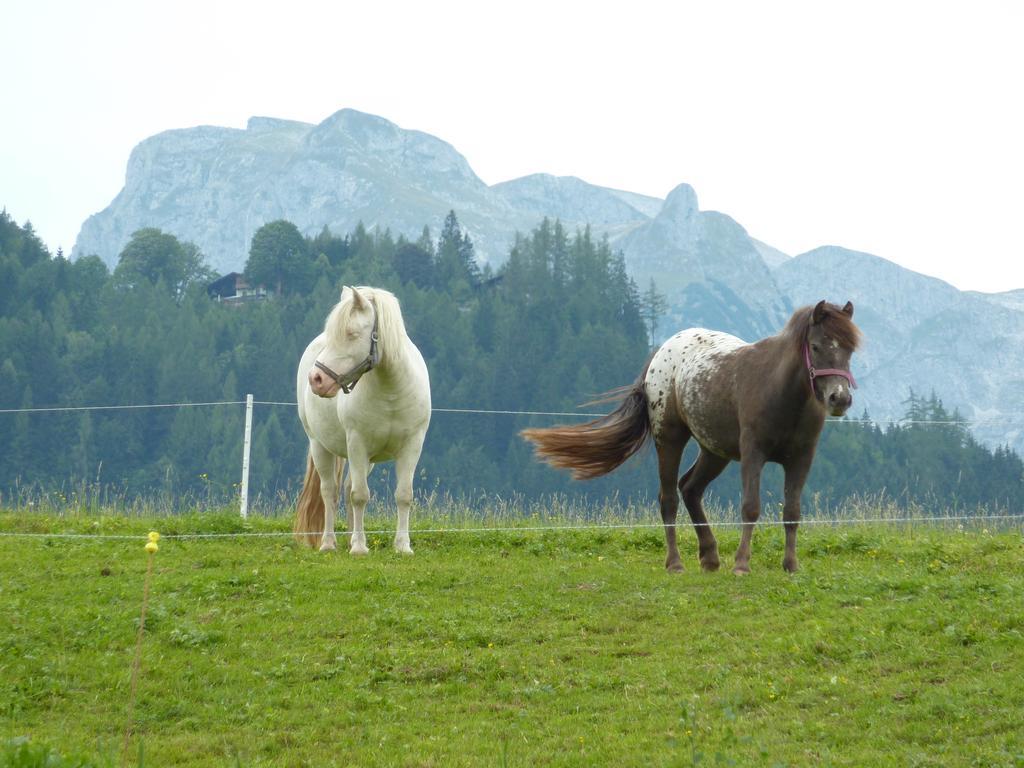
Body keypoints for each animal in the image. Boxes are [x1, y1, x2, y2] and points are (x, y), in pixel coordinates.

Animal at [294, 286, 430, 557]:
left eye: (351, 333)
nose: (316, 379)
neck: (390, 391)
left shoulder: (412, 445)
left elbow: (403, 495)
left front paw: (402, 546)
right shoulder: (357, 443)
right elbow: (360, 496)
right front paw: (358, 548)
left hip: (367, 460)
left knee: (346, 489)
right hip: (320, 446)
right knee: (330, 492)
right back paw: (329, 543)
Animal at [524, 299, 860, 573]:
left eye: (849, 349)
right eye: (816, 346)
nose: (839, 398)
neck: (780, 391)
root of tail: (661, 352)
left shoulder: (801, 458)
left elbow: (792, 511)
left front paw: (791, 565)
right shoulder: (753, 454)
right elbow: (750, 507)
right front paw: (741, 564)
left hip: (715, 452)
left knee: (690, 489)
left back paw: (709, 556)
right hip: (669, 439)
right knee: (669, 498)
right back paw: (675, 563)